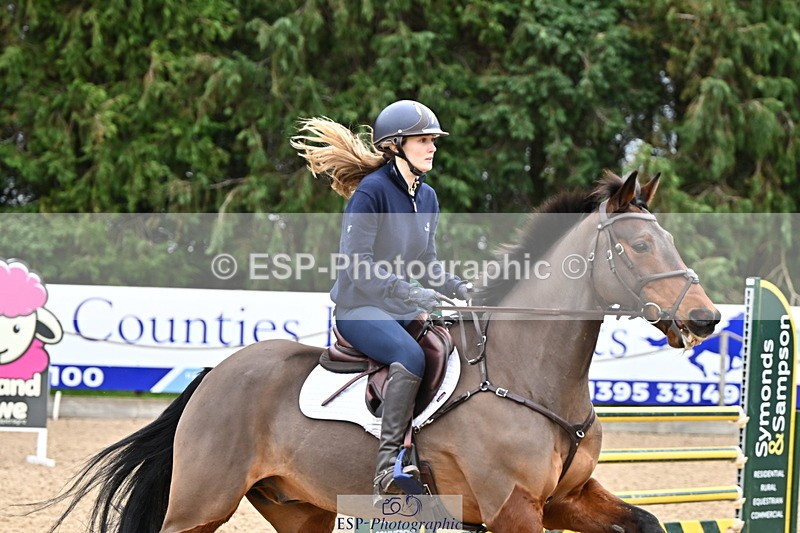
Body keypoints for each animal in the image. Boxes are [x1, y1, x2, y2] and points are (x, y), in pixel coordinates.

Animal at [41, 170, 720, 533]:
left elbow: (648, 521)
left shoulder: (566, 499)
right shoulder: (514, 508)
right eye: (638, 245)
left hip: (298, 507)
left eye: (667, 238)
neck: (529, 375)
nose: (705, 318)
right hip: (200, 502)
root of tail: (215, 373)